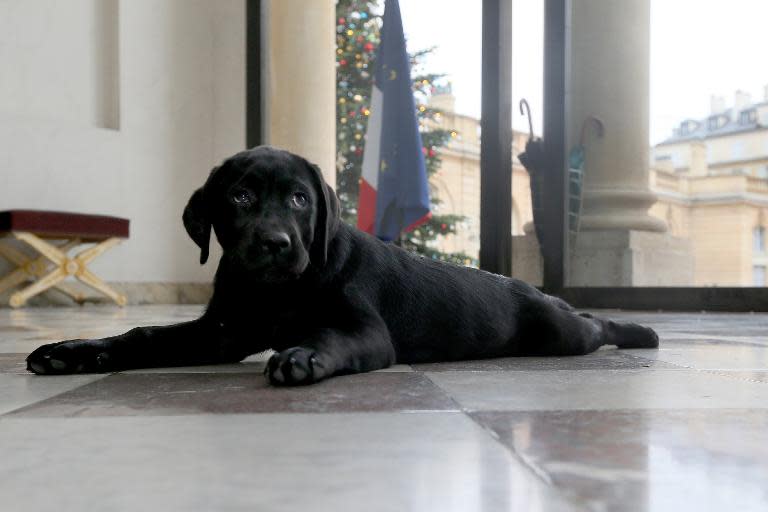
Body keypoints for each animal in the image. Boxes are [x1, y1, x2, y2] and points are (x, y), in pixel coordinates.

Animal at [25, 146, 660, 386]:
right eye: (240, 197)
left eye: (300, 199)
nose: (276, 243)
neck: (277, 291)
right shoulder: (221, 333)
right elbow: (145, 333)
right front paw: (73, 351)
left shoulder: (365, 331)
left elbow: (332, 336)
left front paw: (304, 356)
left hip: (559, 333)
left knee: (593, 323)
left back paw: (641, 330)